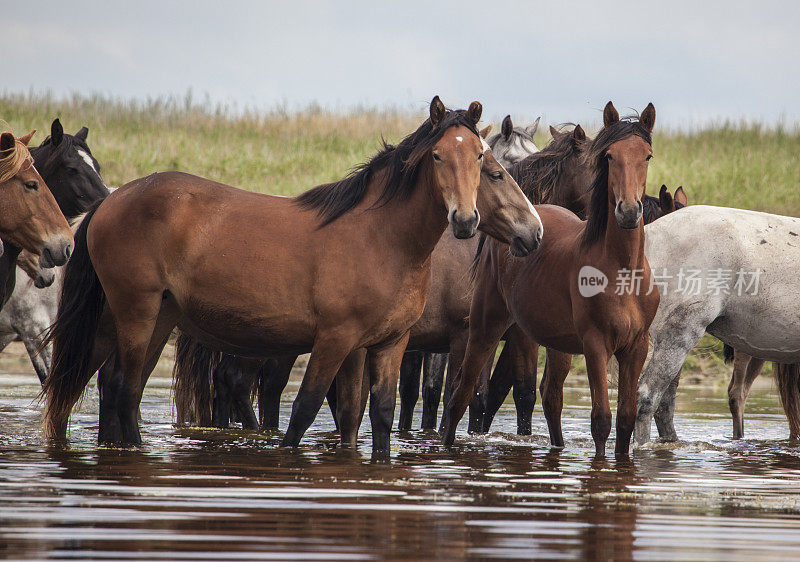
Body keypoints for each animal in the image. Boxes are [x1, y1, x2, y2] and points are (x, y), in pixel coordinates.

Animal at [43, 98, 544, 452]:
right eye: (438, 156)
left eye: (480, 159)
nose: (464, 220)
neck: (384, 238)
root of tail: (111, 200)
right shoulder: (336, 339)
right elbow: (304, 411)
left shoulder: (386, 344)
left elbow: (374, 416)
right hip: (137, 312)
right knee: (124, 387)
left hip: (151, 317)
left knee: (109, 386)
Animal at [440, 103, 660, 458]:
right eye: (608, 156)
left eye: (647, 156)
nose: (628, 211)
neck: (623, 270)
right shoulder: (595, 344)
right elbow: (600, 418)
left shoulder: (635, 347)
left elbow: (626, 418)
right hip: (485, 328)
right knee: (461, 393)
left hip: (557, 344)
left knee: (551, 397)